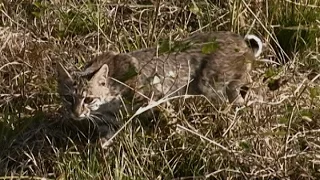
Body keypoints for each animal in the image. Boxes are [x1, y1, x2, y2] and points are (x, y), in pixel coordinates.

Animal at [57, 31, 262, 139]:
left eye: (88, 99)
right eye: (68, 98)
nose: (76, 114)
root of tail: (240, 40)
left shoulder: (155, 97)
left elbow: (171, 120)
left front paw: (179, 138)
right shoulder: (107, 123)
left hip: (211, 85)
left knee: (253, 95)